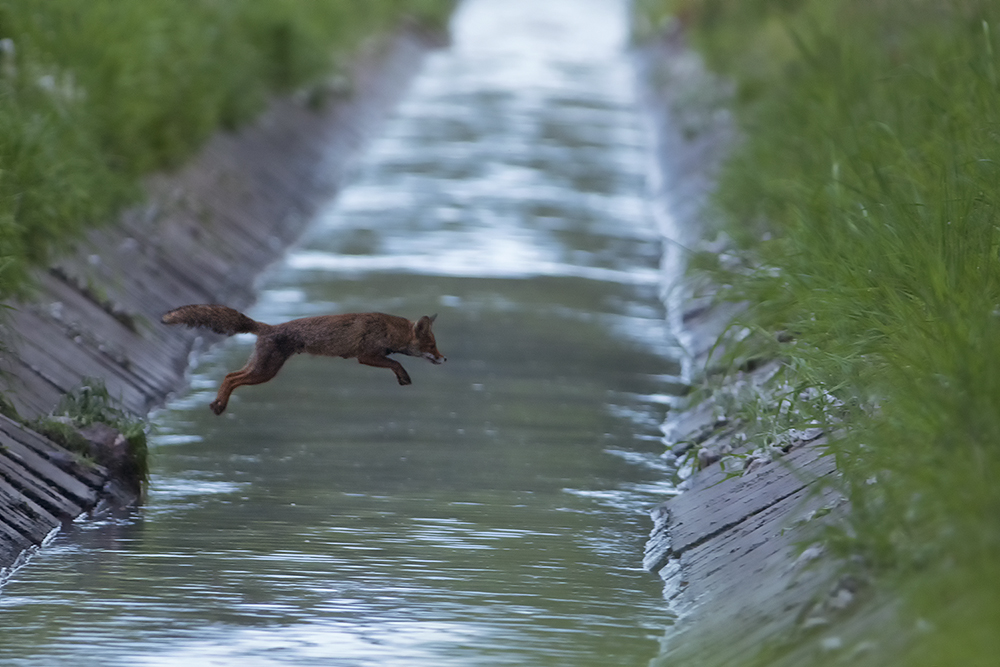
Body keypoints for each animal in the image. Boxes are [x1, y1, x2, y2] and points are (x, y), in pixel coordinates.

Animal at [161, 306, 446, 414]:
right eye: (432, 345)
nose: (445, 358)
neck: (387, 330)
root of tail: (267, 327)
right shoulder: (365, 357)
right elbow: (396, 363)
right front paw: (404, 376)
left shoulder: (372, 357)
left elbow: (395, 363)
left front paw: (402, 377)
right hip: (264, 372)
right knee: (231, 378)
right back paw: (219, 405)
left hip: (261, 369)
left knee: (230, 375)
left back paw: (218, 404)